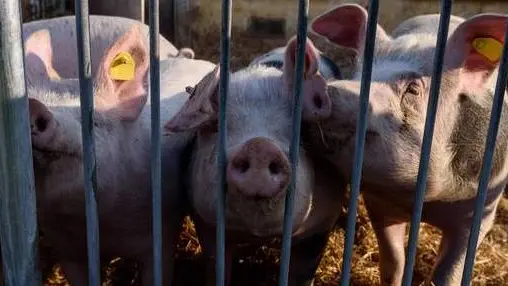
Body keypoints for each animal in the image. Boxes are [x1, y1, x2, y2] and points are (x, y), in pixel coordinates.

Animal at [165, 34, 348, 284]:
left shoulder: (321, 226)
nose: (259, 146)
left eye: (302, 129)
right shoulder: (207, 224)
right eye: (216, 126)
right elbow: (217, 267)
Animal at [292, 3, 508, 286]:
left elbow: (448, 275)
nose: (330, 88)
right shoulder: (379, 203)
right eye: (358, 74)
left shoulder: (480, 213)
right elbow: (393, 261)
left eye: (413, 89)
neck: (428, 200)